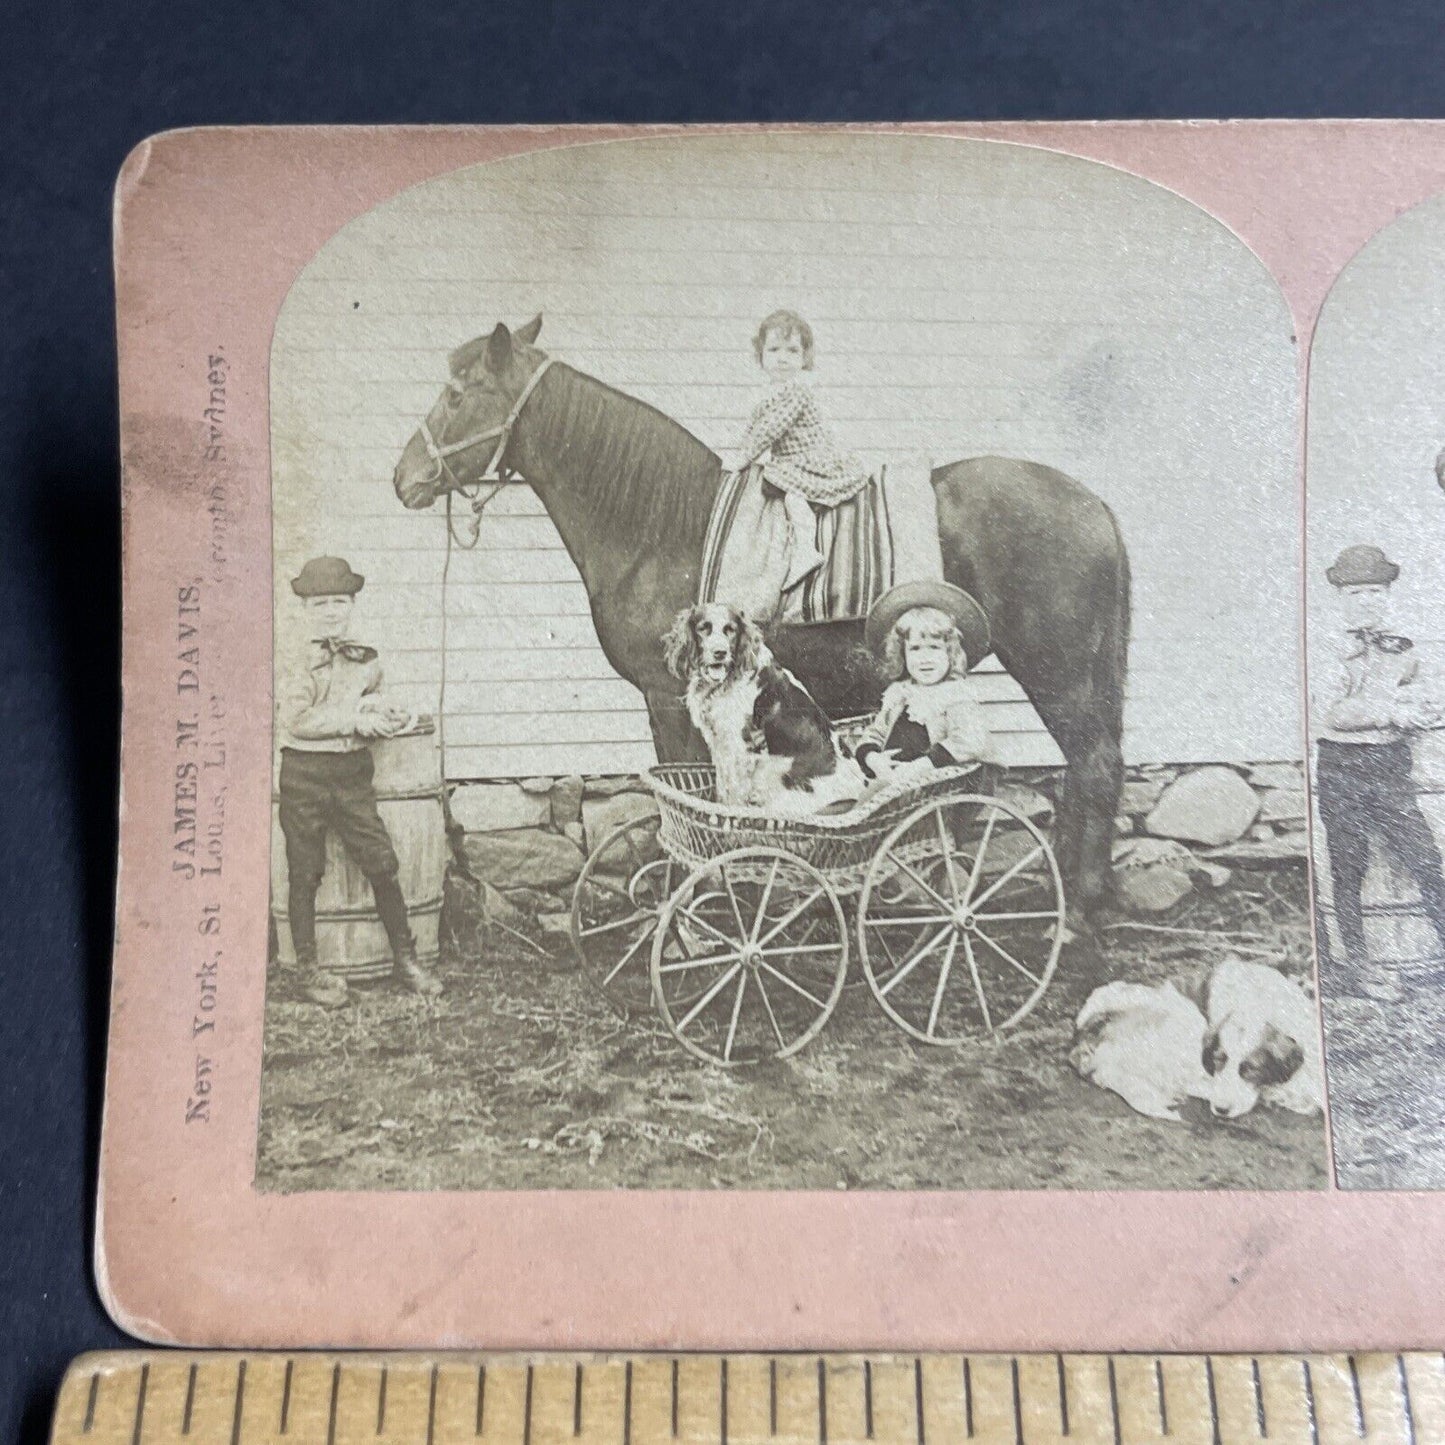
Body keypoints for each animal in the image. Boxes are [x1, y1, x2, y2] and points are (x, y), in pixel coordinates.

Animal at [661, 601, 861, 826]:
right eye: (703, 628)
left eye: (730, 630)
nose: (720, 652)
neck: (726, 681)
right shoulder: (721, 746)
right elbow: (722, 790)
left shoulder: (741, 750)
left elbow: (735, 798)